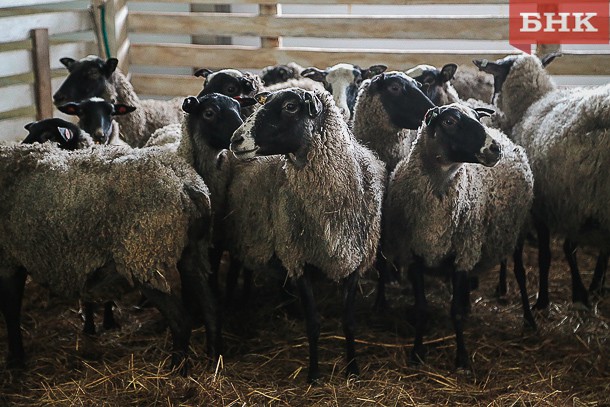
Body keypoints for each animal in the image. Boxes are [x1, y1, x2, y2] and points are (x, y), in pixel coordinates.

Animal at [226, 88, 388, 382]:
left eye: (290, 107)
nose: (236, 139)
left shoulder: (355, 261)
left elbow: (349, 322)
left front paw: (353, 368)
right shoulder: (298, 257)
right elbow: (313, 323)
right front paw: (313, 374)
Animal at [384, 103, 532, 372]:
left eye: (476, 118)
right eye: (449, 122)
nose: (495, 149)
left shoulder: (463, 253)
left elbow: (455, 313)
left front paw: (462, 358)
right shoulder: (414, 255)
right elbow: (422, 309)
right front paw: (417, 352)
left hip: (518, 230)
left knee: (520, 274)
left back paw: (529, 318)